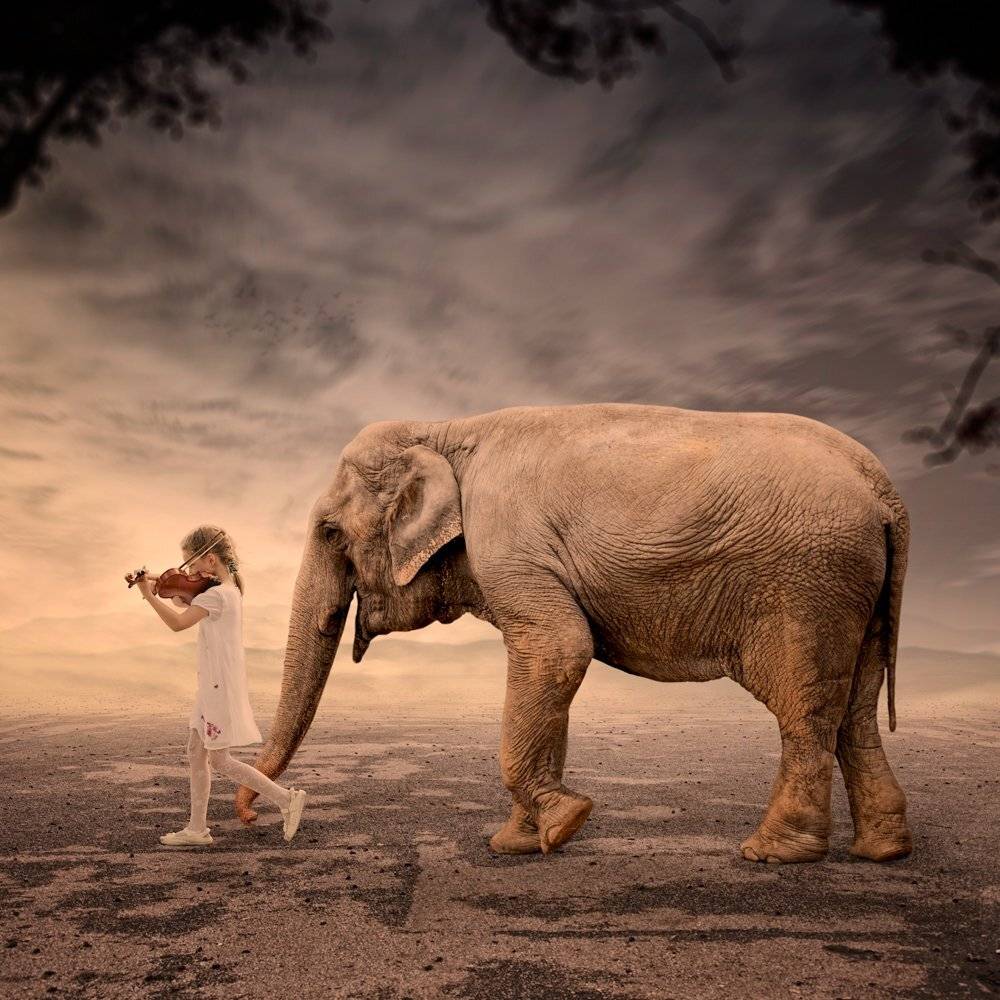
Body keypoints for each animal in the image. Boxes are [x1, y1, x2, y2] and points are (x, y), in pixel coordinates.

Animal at [235, 402, 912, 864]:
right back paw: (882, 851)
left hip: (808, 587)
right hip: (857, 591)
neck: (446, 429)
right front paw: (519, 843)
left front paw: (564, 823)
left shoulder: (509, 544)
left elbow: (559, 649)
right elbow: (553, 662)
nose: (247, 814)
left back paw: (770, 853)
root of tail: (886, 491)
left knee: (807, 712)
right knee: (855, 713)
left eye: (329, 532)